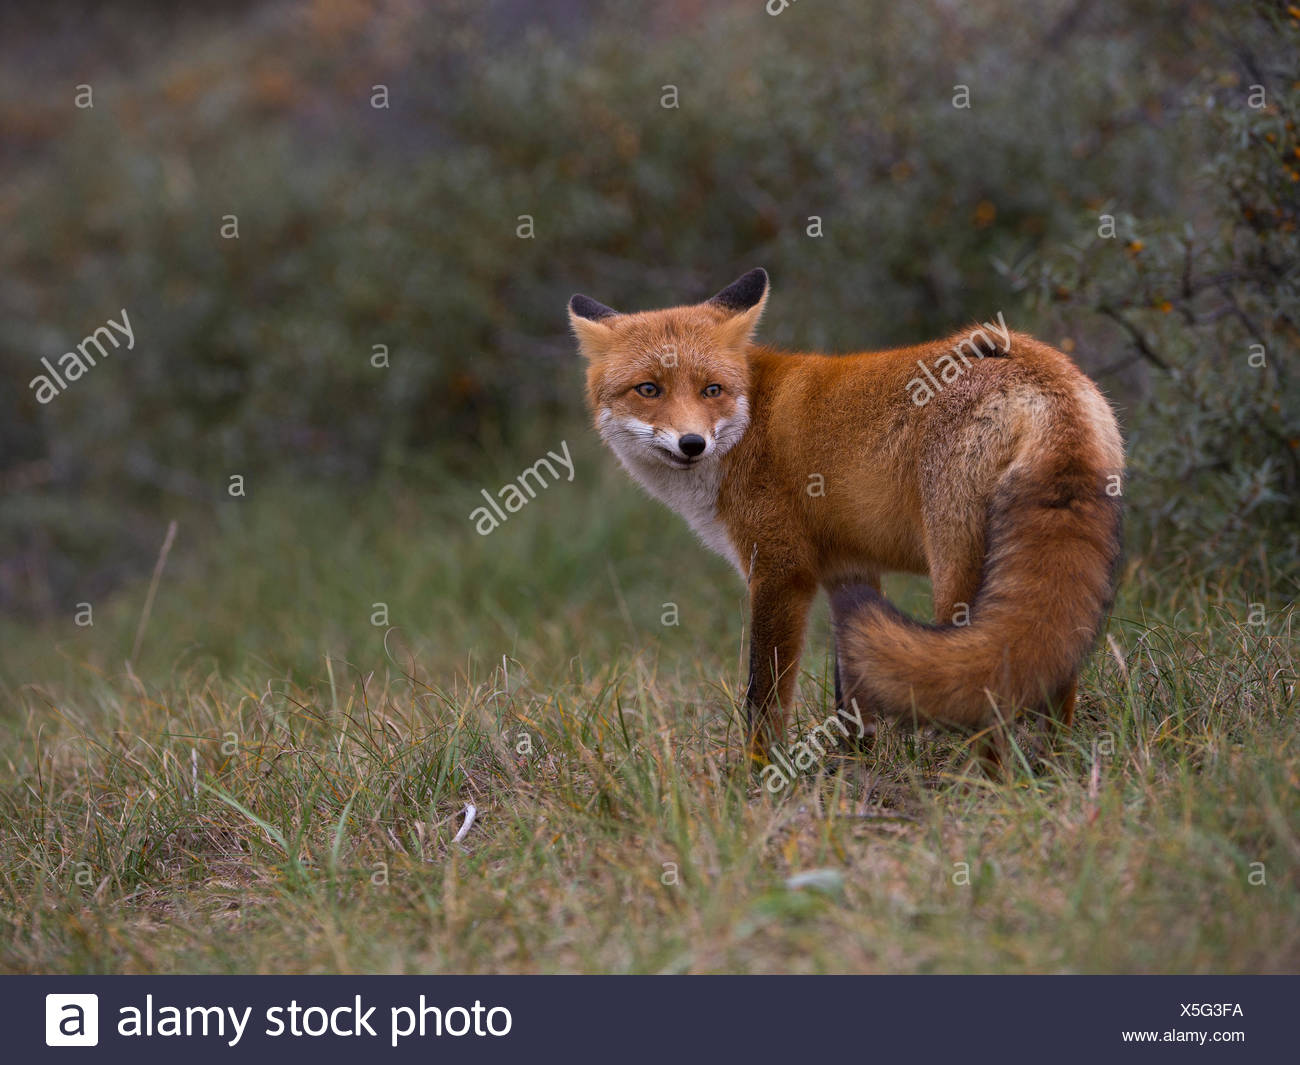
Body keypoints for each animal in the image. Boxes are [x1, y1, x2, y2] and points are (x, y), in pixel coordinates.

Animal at [567, 268, 1124, 769]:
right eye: (648, 390)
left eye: (711, 390)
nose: (691, 443)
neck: (750, 422)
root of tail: (1042, 371)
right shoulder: (848, 572)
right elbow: (851, 698)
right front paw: (854, 764)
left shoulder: (781, 571)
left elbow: (763, 697)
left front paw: (756, 775)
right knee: (1055, 669)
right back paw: (1053, 769)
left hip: (956, 578)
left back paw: (980, 784)